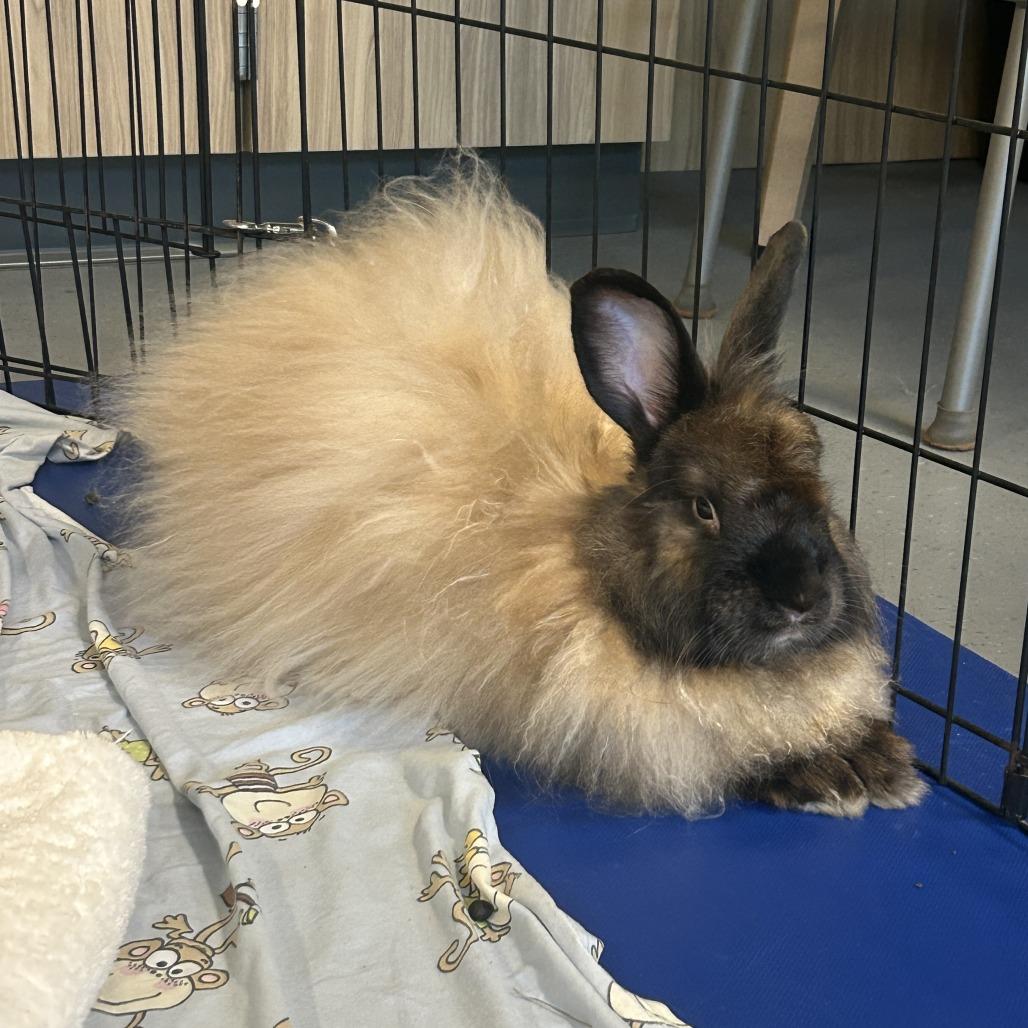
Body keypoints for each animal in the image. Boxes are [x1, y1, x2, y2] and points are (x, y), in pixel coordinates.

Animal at [111, 156, 926, 818]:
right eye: (705, 507)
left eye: (819, 484)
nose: (801, 598)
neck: (591, 569)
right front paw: (841, 777)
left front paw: (882, 763)